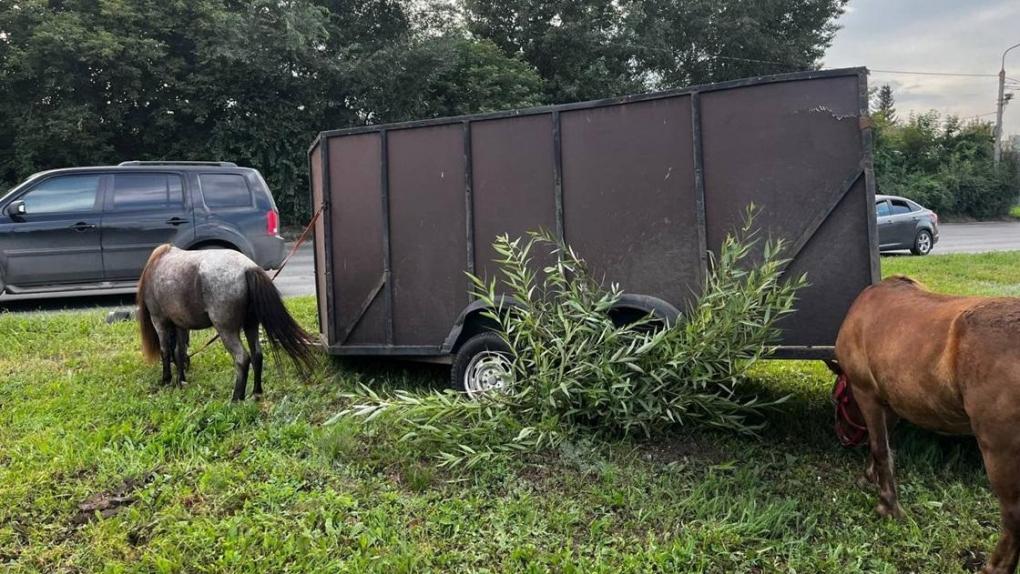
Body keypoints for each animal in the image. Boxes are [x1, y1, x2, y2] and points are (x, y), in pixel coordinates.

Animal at [137, 244, 314, 401]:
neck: (156, 265)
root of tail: (247, 267)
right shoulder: (181, 324)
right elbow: (179, 352)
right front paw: (181, 381)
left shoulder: (159, 320)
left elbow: (165, 351)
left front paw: (166, 380)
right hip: (250, 325)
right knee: (257, 354)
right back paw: (256, 393)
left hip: (226, 330)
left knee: (242, 358)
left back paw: (236, 398)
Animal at [836, 275, 1020, 570]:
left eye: (840, 400)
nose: (842, 435)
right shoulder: (890, 403)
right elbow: (883, 447)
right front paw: (871, 477)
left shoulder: (867, 394)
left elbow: (880, 449)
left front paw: (888, 505)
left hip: (1000, 451)